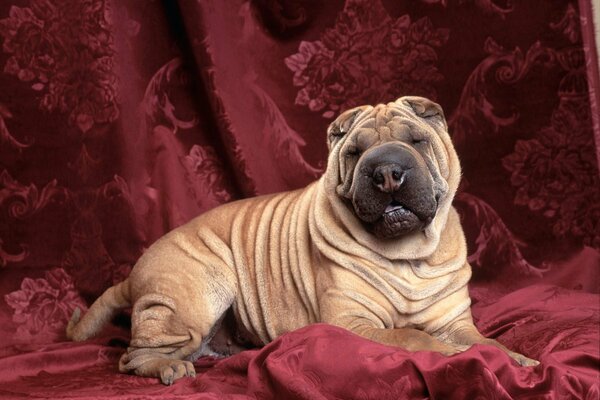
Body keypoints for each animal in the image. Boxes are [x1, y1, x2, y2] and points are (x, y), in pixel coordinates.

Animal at [67, 97, 540, 384]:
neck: (409, 256)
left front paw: (513, 359)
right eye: (355, 153)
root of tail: (132, 276)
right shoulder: (354, 322)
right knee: (134, 356)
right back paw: (169, 367)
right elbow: (414, 338)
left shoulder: (454, 321)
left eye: (416, 141)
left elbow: (485, 342)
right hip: (197, 292)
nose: (387, 171)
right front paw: (451, 357)